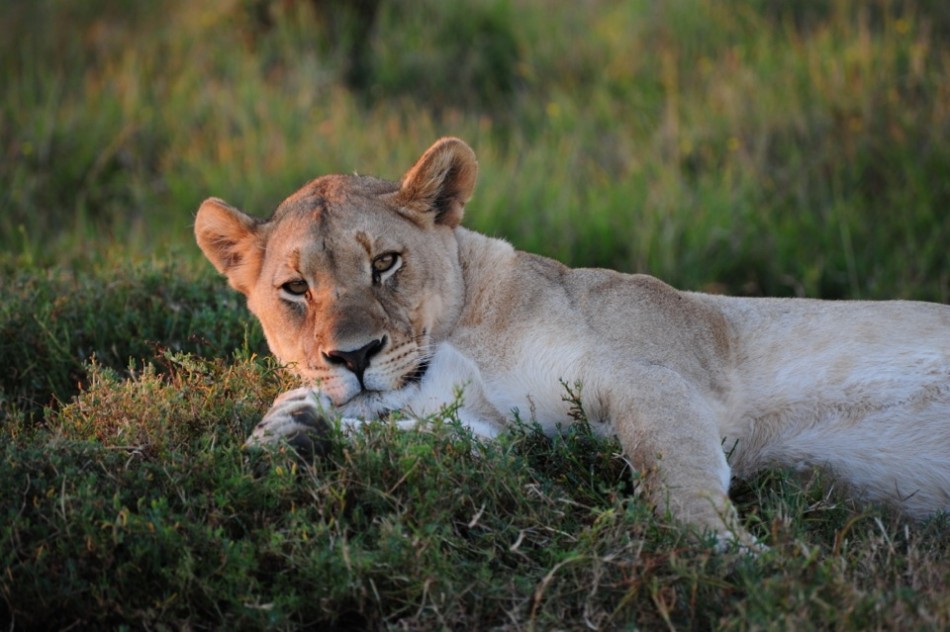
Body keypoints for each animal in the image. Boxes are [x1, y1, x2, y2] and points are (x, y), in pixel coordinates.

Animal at [195, 137, 950, 547]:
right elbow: (433, 437)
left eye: (385, 262)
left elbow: (675, 477)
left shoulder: (652, 372)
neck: (461, 337)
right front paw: (291, 427)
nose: (352, 357)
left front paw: (730, 558)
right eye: (296, 288)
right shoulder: (504, 435)